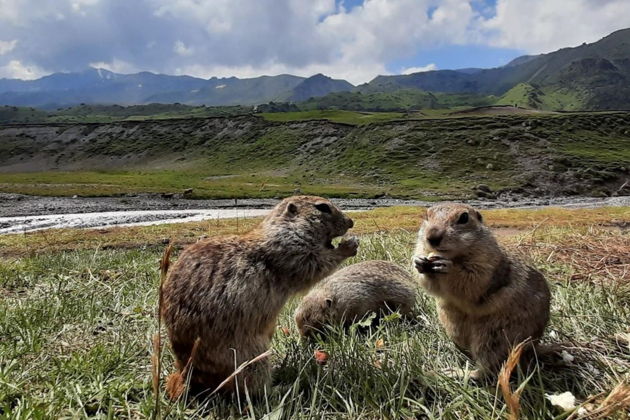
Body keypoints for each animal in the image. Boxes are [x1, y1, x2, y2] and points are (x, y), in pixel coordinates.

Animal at [162, 195, 360, 398]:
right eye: (323, 208)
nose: (351, 222)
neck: (283, 230)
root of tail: (186, 375)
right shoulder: (290, 251)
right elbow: (315, 263)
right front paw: (349, 245)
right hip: (250, 357)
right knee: (252, 388)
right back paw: (286, 386)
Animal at [412, 203, 552, 378]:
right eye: (426, 215)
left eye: (464, 217)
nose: (432, 237)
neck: (455, 255)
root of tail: (533, 347)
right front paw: (418, 262)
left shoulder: (485, 261)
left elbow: (472, 280)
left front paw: (447, 267)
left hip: (494, 337)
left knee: (487, 369)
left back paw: (456, 372)